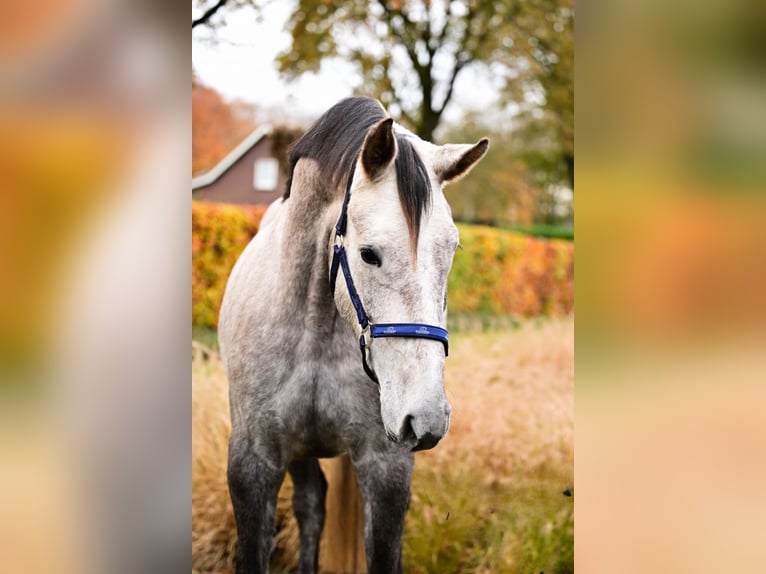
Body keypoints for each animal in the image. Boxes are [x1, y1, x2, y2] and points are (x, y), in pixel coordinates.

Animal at [219, 97, 488, 572]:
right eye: (369, 254)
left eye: (452, 250)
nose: (427, 417)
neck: (315, 332)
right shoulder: (253, 463)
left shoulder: (386, 467)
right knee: (311, 504)